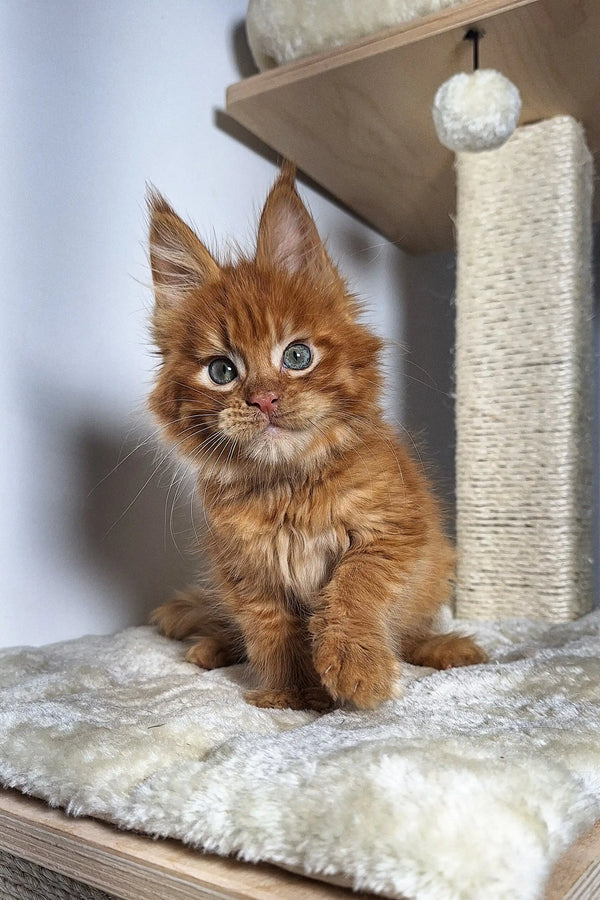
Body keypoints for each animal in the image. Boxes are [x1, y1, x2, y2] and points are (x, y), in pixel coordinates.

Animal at [146, 162, 488, 712]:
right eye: (221, 371)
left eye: (297, 356)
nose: (264, 399)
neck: (289, 484)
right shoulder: (246, 570)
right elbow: (271, 632)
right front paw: (291, 695)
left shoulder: (394, 530)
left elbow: (352, 588)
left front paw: (355, 667)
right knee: (226, 623)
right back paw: (212, 646)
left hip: (434, 572)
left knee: (412, 633)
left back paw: (443, 647)